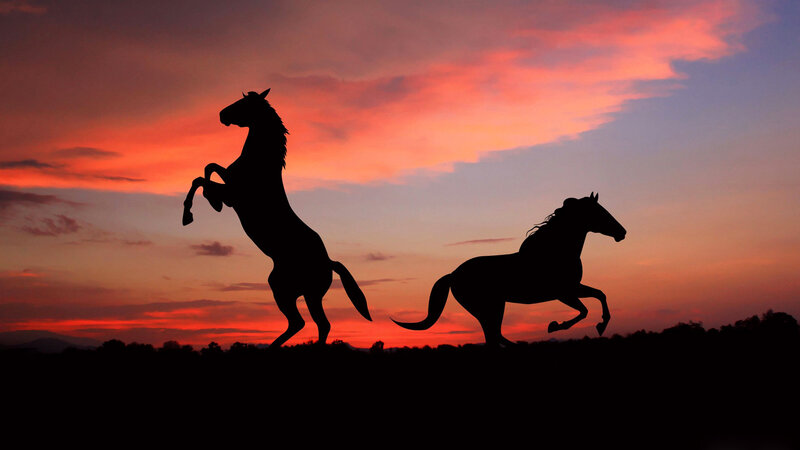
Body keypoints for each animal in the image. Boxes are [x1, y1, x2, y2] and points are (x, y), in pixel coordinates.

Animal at [182, 88, 371, 347]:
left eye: (244, 103)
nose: (222, 115)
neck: (259, 163)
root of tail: (329, 262)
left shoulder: (234, 194)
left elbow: (202, 178)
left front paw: (193, 212)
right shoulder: (230, 182)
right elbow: (209, 168)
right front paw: (210, 203)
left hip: (292, 291)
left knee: (308, 323)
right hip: (299, 292)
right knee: (312, 324)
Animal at [392, 193, 626, 346]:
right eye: (601, 212)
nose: (622, 232)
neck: (555, 251)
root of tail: (453, 275)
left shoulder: (573, 288)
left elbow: (600, 295)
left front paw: (601, 325)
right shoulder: (563, 292)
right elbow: (584, 310)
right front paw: (554, 325)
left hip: (492, 307)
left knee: (494, 337)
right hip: (489, 307)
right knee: (494, 337)